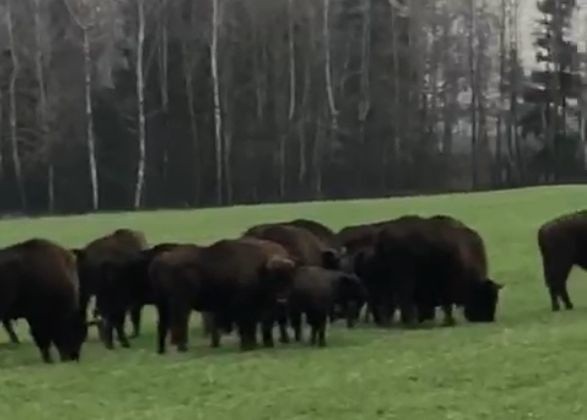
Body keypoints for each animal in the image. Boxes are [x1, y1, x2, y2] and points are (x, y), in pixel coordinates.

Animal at [152, 238, 298, 352]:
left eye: (290, 277)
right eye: (274, 278)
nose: (282, 299)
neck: (261, 268)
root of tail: (162, 259)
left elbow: (258, 326)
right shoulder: (245, 307)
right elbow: (246, 325)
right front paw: (248, 346)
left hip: (163, 305)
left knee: (164, 323)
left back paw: (162, 350)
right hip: (180, 303)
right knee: (180, 321)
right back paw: (182, 347)